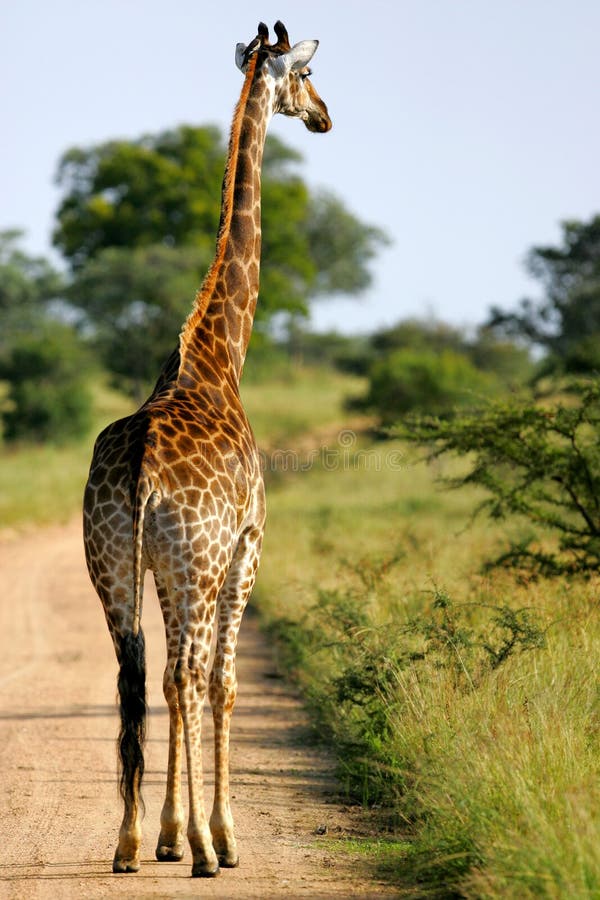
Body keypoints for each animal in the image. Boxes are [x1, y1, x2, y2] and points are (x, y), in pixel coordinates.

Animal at [82, 19, 330, 880]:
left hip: (114, 562)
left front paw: (164, 832)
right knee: (187, 675)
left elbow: (169, 686)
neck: (221, 357)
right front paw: (216, 834)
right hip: (196, 561)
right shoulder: (247, 546)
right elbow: (221, 684)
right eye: (308, 75)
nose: (325, 118)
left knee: (136, 674)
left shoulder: (166, 564)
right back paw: (200, 852)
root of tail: (139, 472)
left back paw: (128, 843)